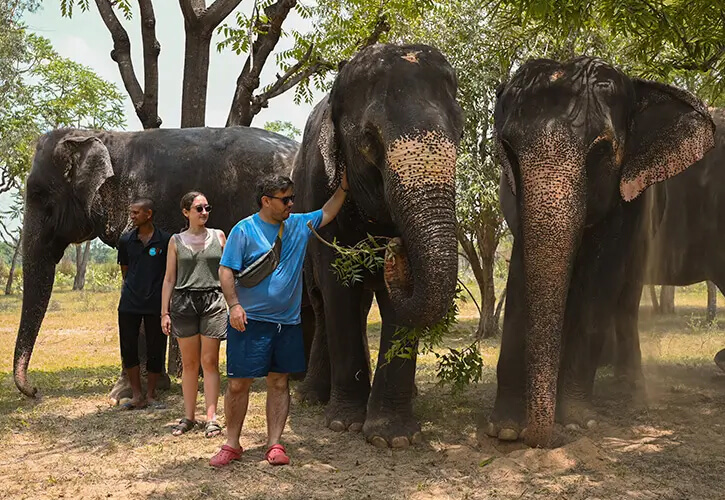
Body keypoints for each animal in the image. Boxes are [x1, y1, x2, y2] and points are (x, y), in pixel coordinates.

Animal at [14, 126, 299, 398]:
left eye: (39, 194)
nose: (34, 390)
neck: (106, 137)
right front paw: (156, 385)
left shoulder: (158, 210)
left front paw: (123, 394)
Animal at [292, 43, 464, 448]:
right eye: (369, 140)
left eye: (461, 132)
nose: (395, 249)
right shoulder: (320, 188)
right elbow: (337, 287)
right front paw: (344, 425)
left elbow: (395, 304)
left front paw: (393, 437)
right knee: (323, 302)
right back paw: (312, 397)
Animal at [489, 56, 715, 448]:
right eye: (509, 151)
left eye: (601, 152)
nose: (539, 439)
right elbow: (520, 272)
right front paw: (504, 428)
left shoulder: (628, 205)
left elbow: (600, 279)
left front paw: (579, 421)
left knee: (626, 300)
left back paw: (631, 391)